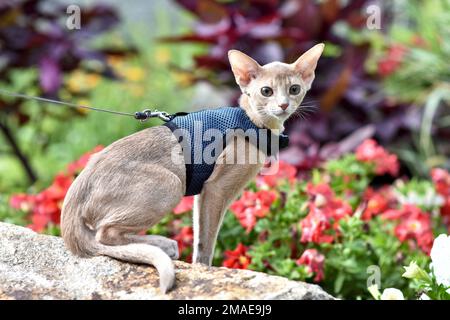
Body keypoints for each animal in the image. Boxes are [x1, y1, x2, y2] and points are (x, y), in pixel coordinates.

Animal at [61, 43, 326, 294]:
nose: (283, 105)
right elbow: (207, 242)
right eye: (266, 91)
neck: (252, 122)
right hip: (172, 184)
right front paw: (205, 270)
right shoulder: (216, 189)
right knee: (105, 234)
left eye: (294, 89)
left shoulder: (203, 194)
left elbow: (199, 234)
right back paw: (162, 243)